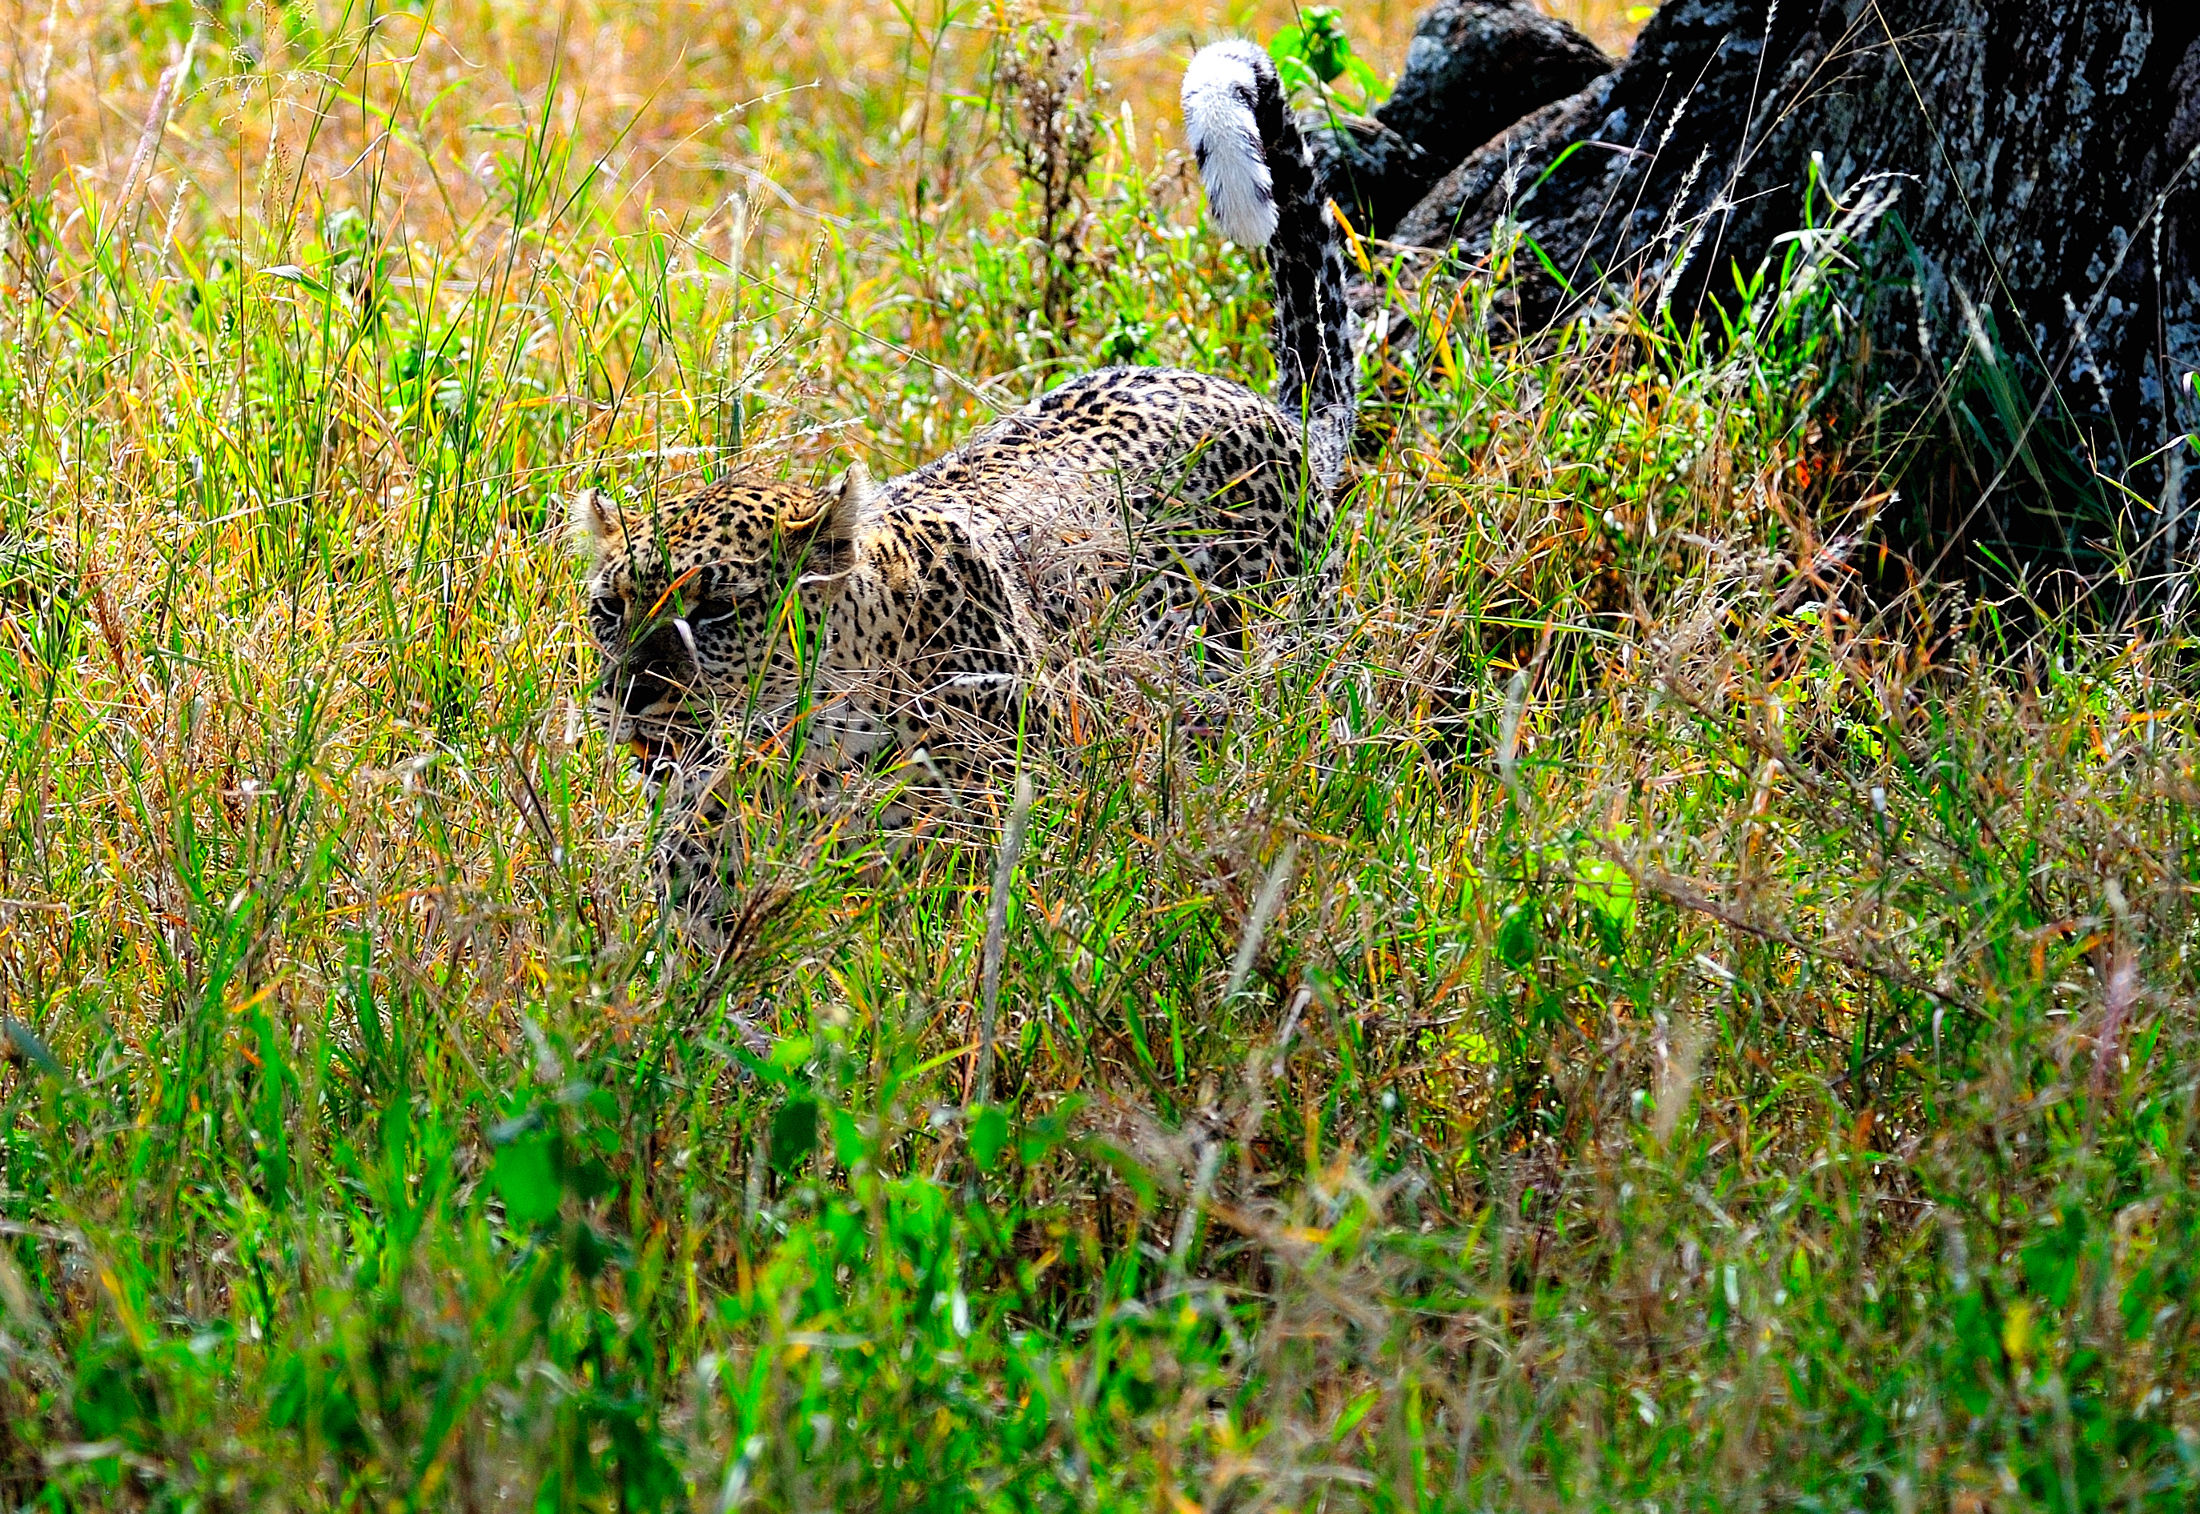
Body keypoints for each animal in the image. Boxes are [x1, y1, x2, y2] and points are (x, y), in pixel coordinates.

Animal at [573, 41, 1356, 947]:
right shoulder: (702, 865)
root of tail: (1270, 407)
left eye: (719, 612)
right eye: (608, 609)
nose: (633, 703)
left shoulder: (1009, 827)